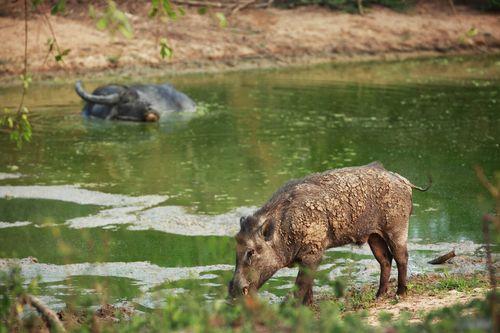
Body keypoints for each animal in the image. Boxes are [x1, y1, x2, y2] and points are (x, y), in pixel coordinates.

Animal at [229, 162, 430, 304]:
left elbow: (301, 285)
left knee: (401, 256)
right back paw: (378, 296)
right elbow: (308, 284)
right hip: (374, 236)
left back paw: (400, 293)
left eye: (251, 252)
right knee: (385, 259)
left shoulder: (314, 252)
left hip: (397, 227)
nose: (233, 291)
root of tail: (404, 181)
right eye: (235, 249)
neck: (286, 229)